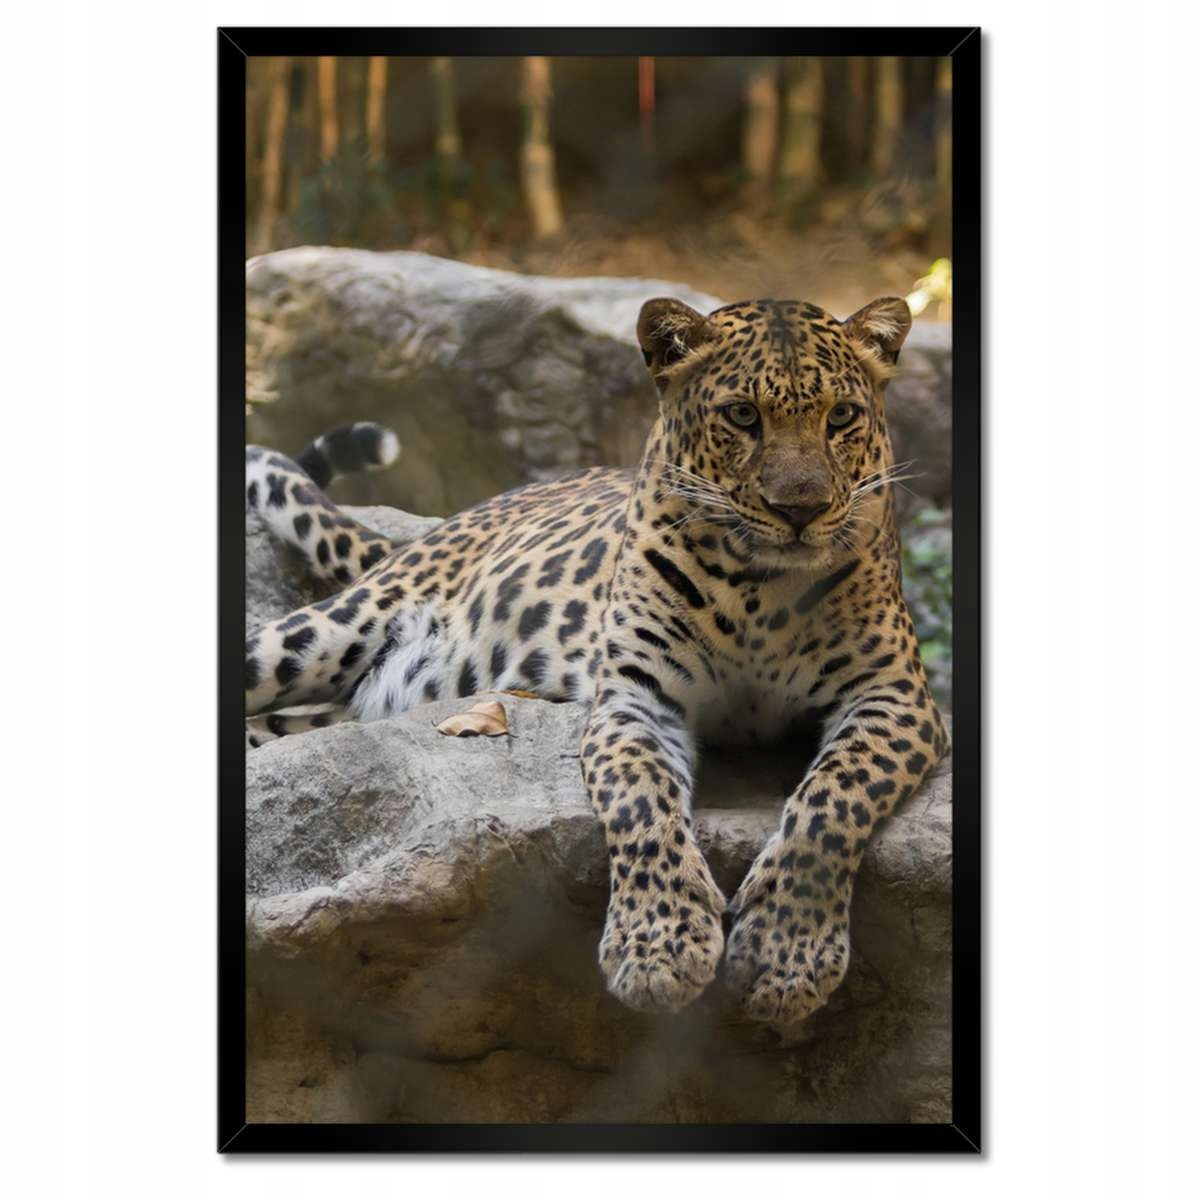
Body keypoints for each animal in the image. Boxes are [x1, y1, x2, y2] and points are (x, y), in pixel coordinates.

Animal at [244, 294, 949, 1026]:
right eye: (742, 416)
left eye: (841, 417)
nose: (801, 511)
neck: (760, 588)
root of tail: (448, 523)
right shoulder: (635, 698)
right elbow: (641, 802)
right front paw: (660, 948)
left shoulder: (894, 696)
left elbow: (833, 802)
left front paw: (786, 954)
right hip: (329, 630)